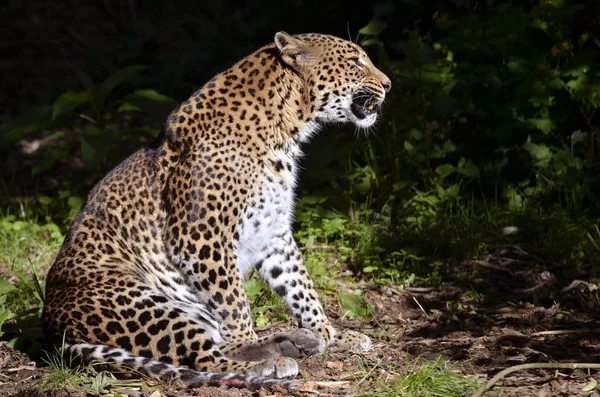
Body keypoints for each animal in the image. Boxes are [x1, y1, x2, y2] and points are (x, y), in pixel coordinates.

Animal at [41, 31, 390, 390]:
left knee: (213, 344)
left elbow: (301, 287)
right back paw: (270, 361)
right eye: (355, 61)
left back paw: (296, 340)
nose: (388, 84)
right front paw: (258, 339)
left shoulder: (273, 232)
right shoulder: (200, 237)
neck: (287, 129)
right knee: (204, 356)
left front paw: (330, 333)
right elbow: (234, 302)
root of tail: (55, 333)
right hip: (142, 301)